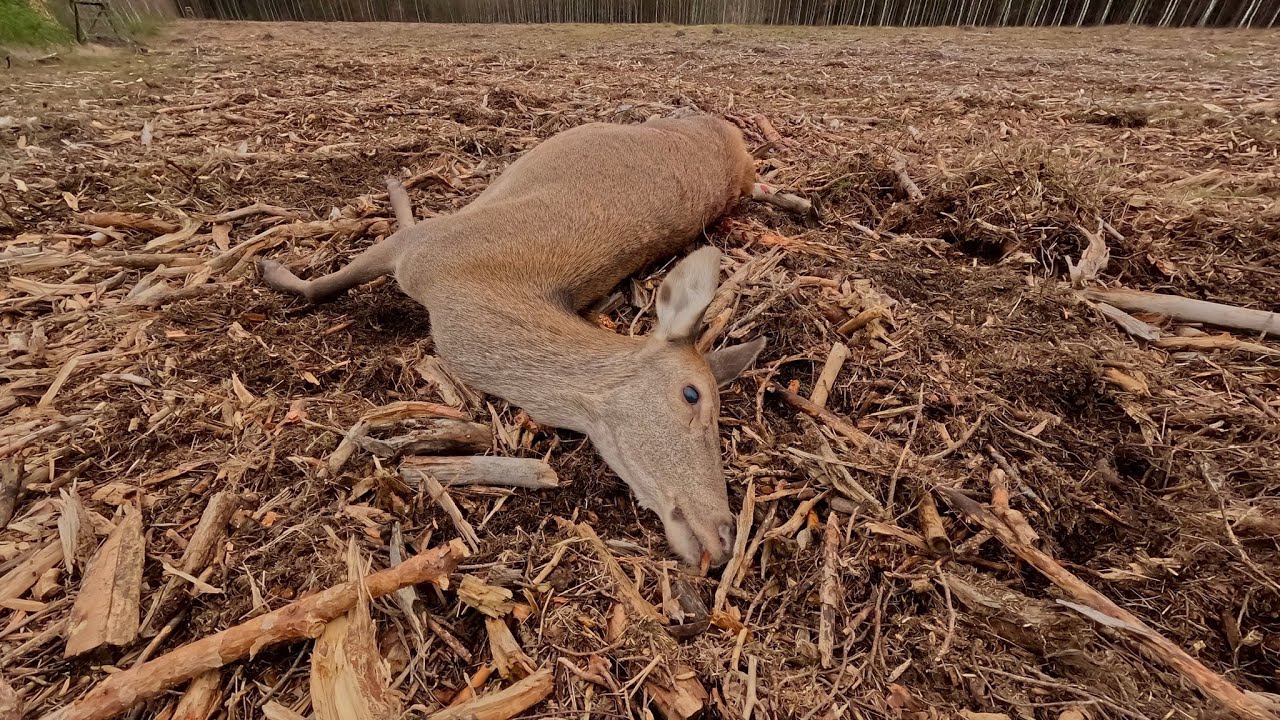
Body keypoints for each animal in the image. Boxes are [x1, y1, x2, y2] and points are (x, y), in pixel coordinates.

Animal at [258, 114, 807, 568]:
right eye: (692, 394)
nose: (725, 534)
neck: (459, 292)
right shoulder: (424, 247)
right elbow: (322, 286)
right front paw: (272, 269)